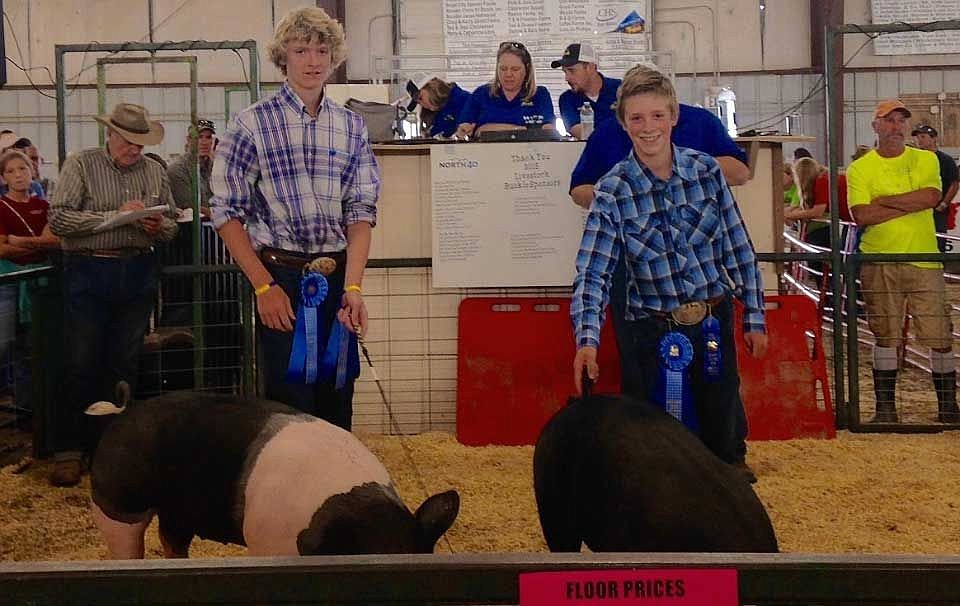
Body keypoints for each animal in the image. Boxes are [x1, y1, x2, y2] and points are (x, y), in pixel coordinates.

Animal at [90, 394, 462, 560]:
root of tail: (120, 416)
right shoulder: (267, 543)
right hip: (118, 506)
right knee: (127, 544)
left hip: (178, 511)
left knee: (172, 541)